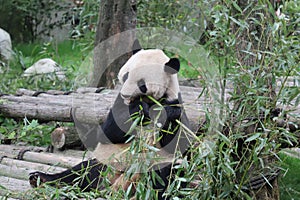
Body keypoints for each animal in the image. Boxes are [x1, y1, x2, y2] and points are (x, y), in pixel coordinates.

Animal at [29, 45, 191, 200]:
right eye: (126, 75)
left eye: (142, 84)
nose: (125, 94)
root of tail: (116, 185)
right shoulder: (119, 104)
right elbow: (107, 132)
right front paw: (137, 110)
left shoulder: (174, 99)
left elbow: (178, 143)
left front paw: (167, 112)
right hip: (105, 163)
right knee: (81, 172)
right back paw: (41, 179)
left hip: (152, 168)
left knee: (166, 175)